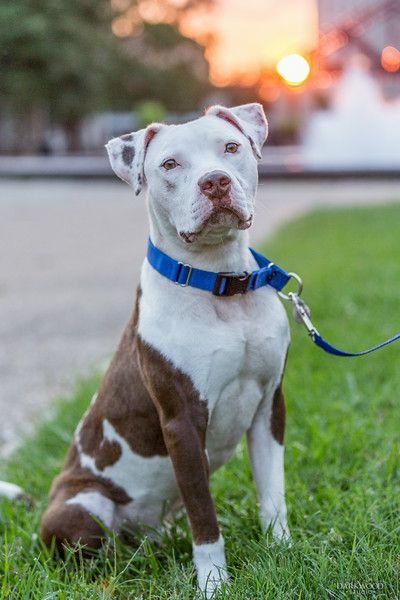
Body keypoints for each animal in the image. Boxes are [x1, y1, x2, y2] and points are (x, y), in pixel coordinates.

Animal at [40, 103, 290, 596]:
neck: (221, 285)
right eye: (170, 164)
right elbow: (205, 518)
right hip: (81, 508)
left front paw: (285, 553)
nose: (216, 182)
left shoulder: (269, 405)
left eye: (231, 148)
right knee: (98, 550)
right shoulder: (182, 423)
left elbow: (273, 495)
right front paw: (213, 584)